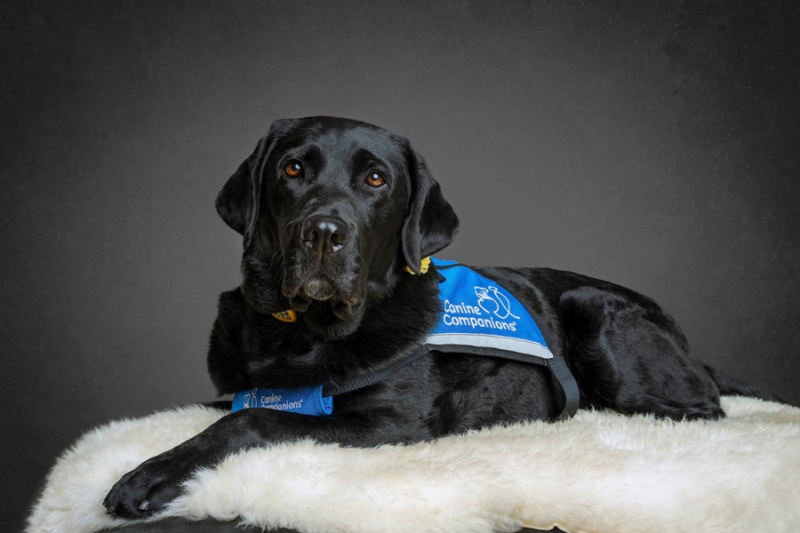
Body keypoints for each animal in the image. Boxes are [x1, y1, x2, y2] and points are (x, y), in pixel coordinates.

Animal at [101, 116, 768, 520]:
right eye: (292, 169)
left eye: (376, 179)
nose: (324, 232)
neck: (300, 333)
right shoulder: (236, 388)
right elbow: (225, 409)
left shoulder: (389, 425)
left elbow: (253, 419)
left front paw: (146, 478)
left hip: (594, 310)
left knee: (697, 409)